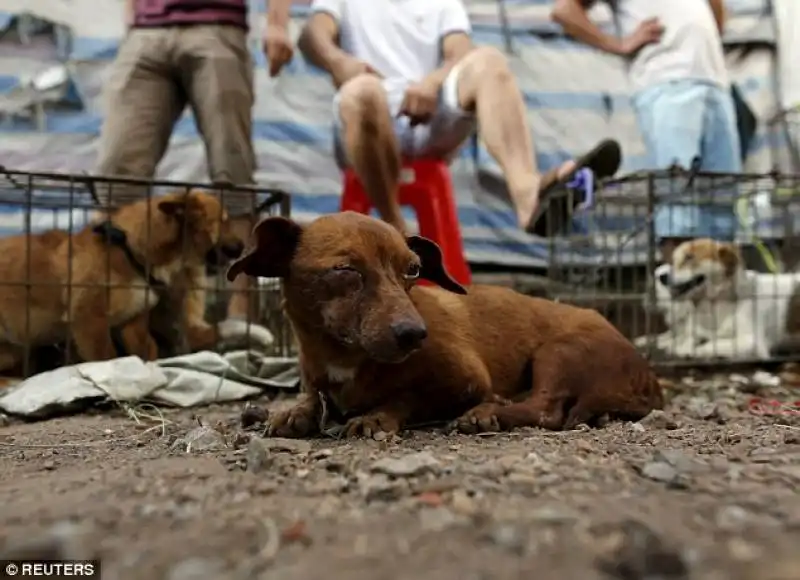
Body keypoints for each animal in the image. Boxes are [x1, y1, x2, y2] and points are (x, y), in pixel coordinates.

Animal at [0, 188, 272, 374]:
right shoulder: (90, 322)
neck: (130, 252)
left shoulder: (133, 323)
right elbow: (107, 357)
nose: (244, 247)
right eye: (223, 220)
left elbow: (145, 352)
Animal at [227, 211, 664, 438]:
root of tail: (648, 376)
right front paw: (294, 411)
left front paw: (377, 416)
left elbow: (407, 397)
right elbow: (311, 395)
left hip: (557, 350)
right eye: (345, 270)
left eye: (413, 269)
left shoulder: (466, 381)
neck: (344, 357)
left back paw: (491, 412)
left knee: (546, 408)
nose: (415, 334)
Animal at [640, 239, 800, 358]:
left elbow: (711, 345)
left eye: (689, 257)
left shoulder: (754, 343)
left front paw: (687, 350)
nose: (663, 277)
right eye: (674, 260)